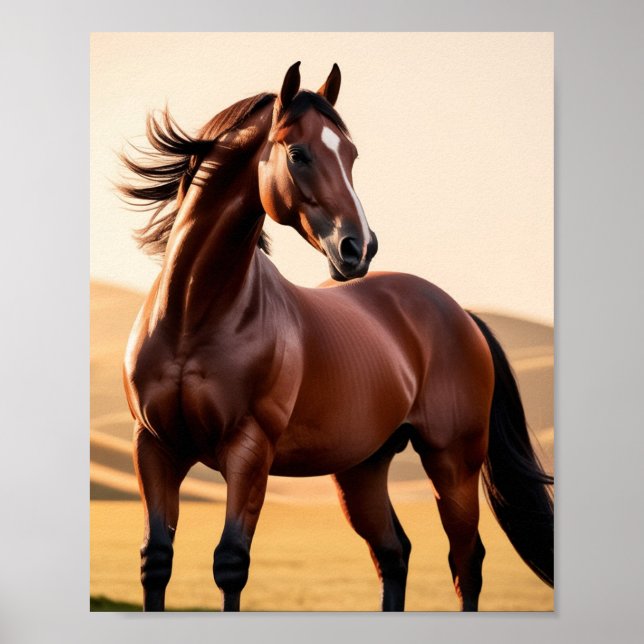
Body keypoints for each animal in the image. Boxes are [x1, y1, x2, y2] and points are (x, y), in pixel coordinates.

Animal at [119, 62, 554, 612]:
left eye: (351, 154)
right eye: (298, 153)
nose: (358, 247)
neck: (191, 317)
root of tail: (460, 313)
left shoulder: (248, 450)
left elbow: (231, 563)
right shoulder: (154, 446)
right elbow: (156, 560)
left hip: (453, 462)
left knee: (466, 562)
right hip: (362, 468)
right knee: (393, 553)